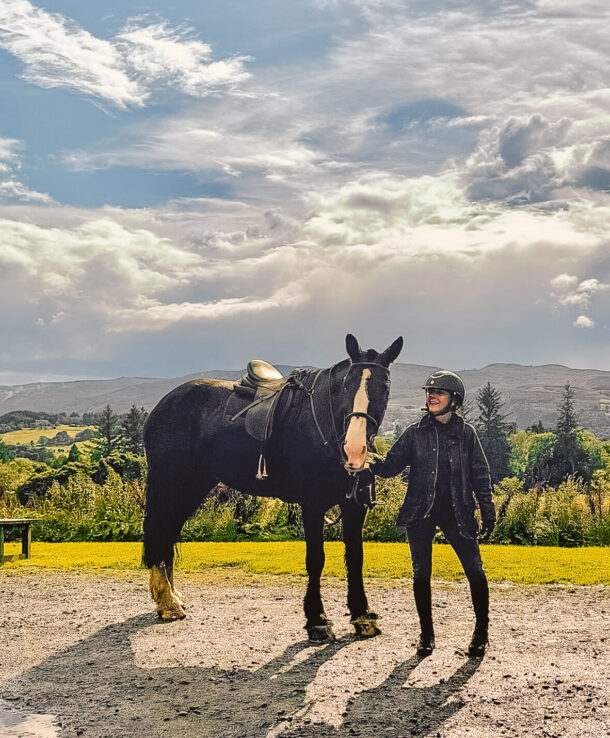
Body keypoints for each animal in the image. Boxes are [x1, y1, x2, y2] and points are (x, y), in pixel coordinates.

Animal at [142, 333, 403, 642]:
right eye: (347, 385)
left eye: (384, 387)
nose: (354, 450)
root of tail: (162, 407)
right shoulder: (312, 505)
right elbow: (316, 559)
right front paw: (317, 620)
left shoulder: (354, 506)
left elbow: (355, 559)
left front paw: (362, 616)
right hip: (171, 486)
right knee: (159, 534)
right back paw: (167, 603)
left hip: (191, 489)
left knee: (167, 536)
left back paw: (171, 597)